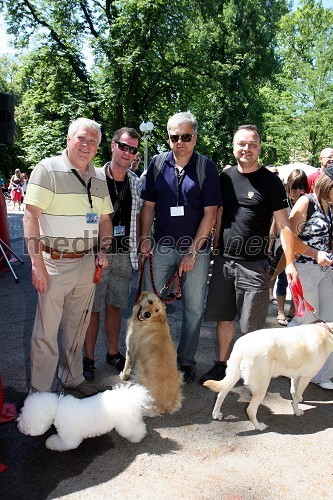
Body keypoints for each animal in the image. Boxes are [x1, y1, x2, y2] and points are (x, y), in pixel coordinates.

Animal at [202, 324, 332, 430]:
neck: (327, 333)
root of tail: (242, 346)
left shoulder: (296, 375)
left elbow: (294, 391)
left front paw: (298, 398)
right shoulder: (306, 377)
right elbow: (296, 397)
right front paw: (297, 411)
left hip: (233, 375)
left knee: (220, 394)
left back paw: (216, 414)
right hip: (262, 387)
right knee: (250, 410)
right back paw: (259, 427)